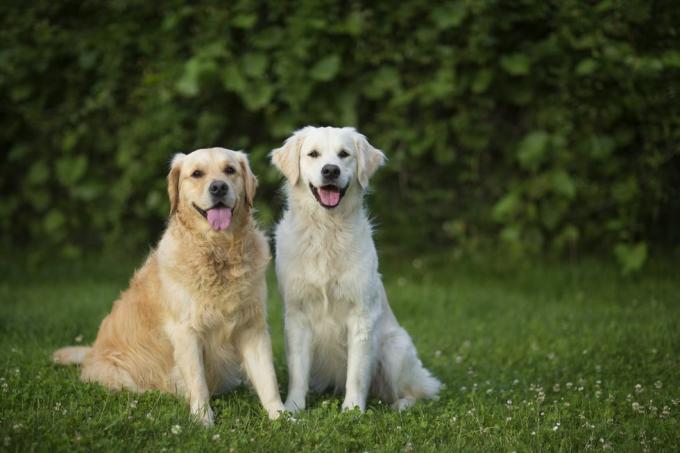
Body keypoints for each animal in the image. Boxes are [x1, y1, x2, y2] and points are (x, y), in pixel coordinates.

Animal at [270, 125, 440, 412]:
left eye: (344, 154)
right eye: (313, 154)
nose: (331, 170)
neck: (327, 231)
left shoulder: (362, 316)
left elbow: (357, 373)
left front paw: (351, 410)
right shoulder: (297, 315)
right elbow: (298, 371)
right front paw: (292, 407)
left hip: (395, 348)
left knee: (415, 392)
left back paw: (400, 405)